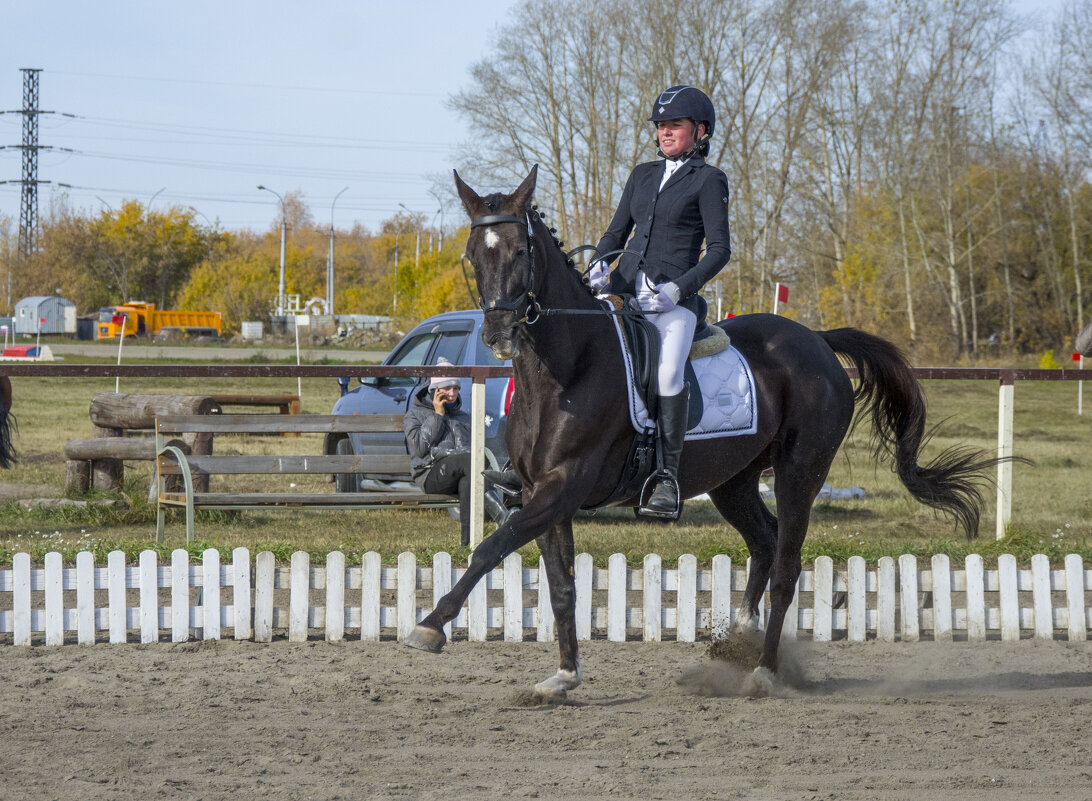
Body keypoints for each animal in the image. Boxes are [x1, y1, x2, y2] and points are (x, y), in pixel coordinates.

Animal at [408, 165, 1000, 698]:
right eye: (474, 255)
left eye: (520, 253)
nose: (499, 333)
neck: (565, 368)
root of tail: (816, 340)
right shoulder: (541, 491)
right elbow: (560, 587)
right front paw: (564, 676)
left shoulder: (564, 486)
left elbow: (491, 548)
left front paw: (430, 626)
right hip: (733, 480)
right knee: (763, 543)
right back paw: (733, 643)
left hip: (799, 472)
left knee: (786, 565)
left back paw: (762, 671)